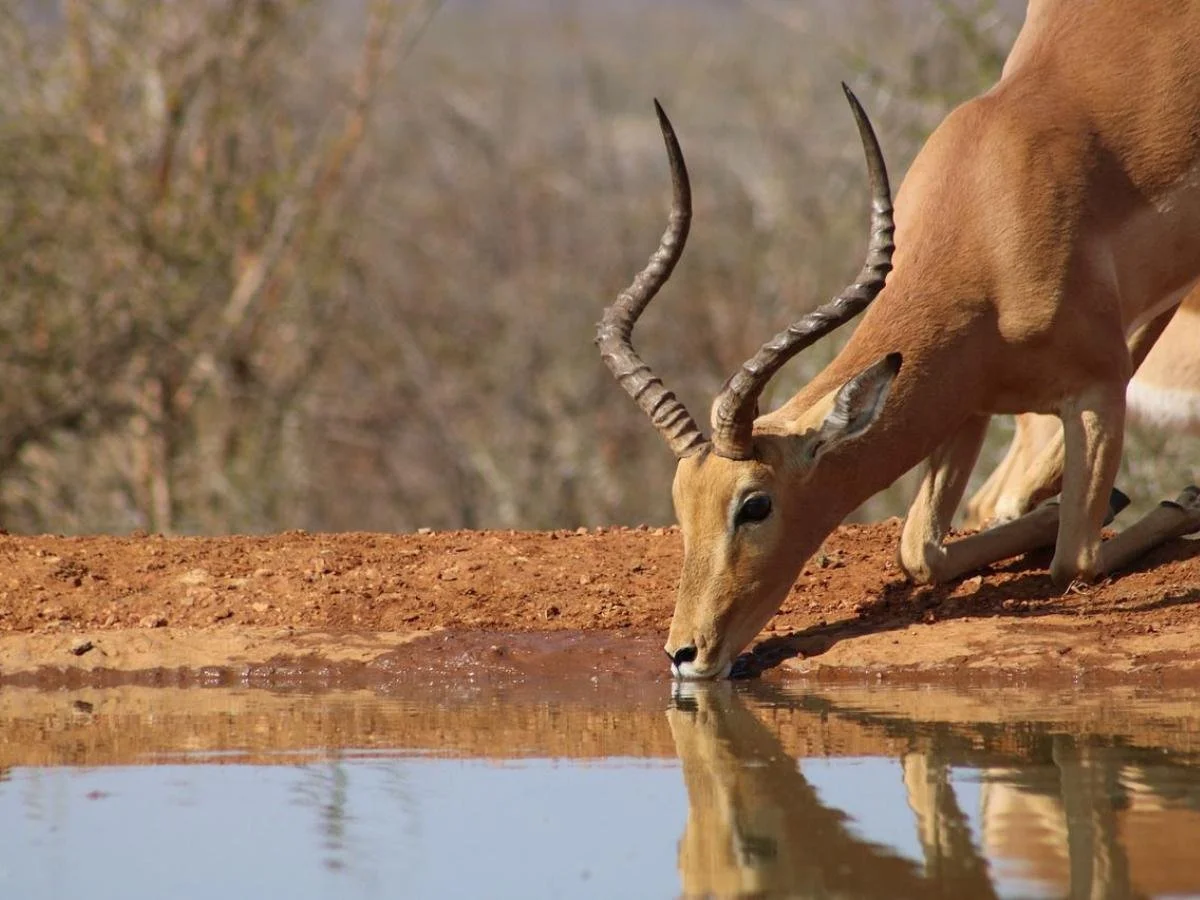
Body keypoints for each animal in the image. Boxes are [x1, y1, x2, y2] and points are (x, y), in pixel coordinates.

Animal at [597, 0, 1200, 680]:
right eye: (681, 504)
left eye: (755, 504)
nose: (684, 654)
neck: (993, 215)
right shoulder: (964, 398)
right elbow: (919, 552)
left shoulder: (1099, 388)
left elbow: (1076, 559)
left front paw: (1184, 502)